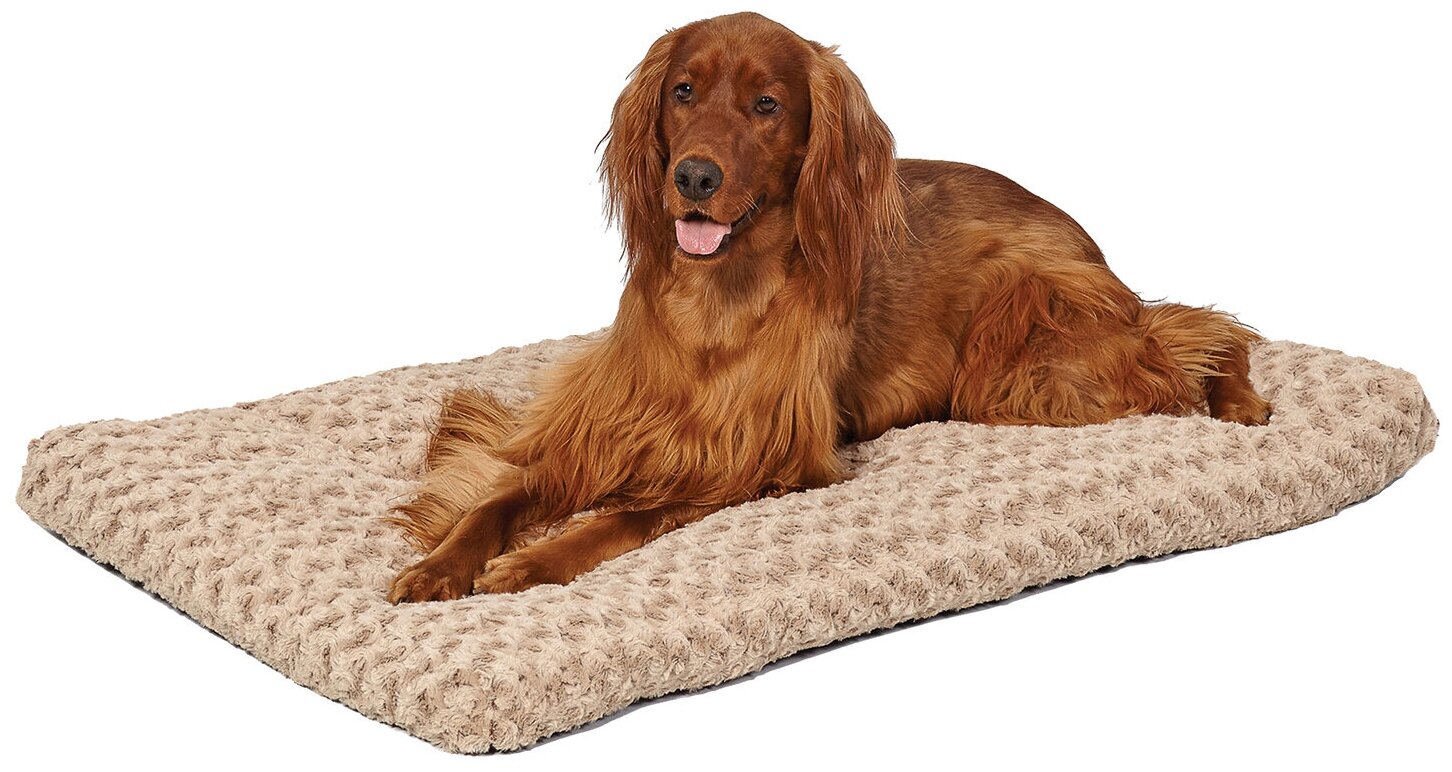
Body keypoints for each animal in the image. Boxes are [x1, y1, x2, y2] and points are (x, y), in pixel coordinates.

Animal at [386, 12, 1271, 603]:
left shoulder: (765, 462)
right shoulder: (595, 432)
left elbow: (627, 516)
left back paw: (1242, 398)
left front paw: (533, 563)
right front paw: (440, 565)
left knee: (1196, 336)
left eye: (767, 105)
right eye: (683, 91)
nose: (694, 177)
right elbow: (500, 497)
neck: (716, 304)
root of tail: (1082, 236)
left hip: (1026, 357)